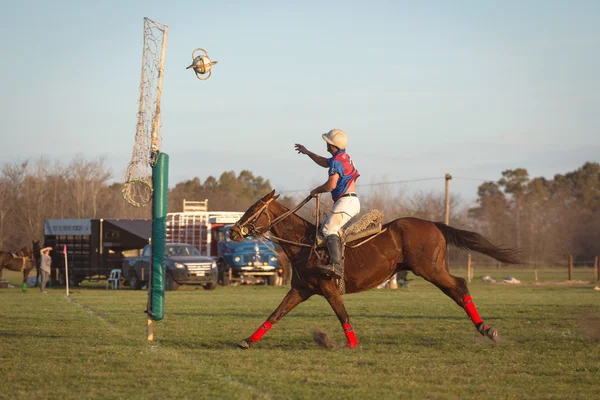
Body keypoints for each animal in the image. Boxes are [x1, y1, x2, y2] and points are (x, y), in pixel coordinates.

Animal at [232, 189, 524, 348]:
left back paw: (488, 330)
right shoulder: (301, 289)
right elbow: (275, 314)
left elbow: (343, 315)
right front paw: (247, 340)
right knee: (456, 290)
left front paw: (351, 344)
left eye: (254, 208)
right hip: (433, 269)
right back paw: (485, 329)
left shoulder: (328, 287)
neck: (305, 244)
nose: (234, 230)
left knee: (460, 285)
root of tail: (434, 224)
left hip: (429, 269)